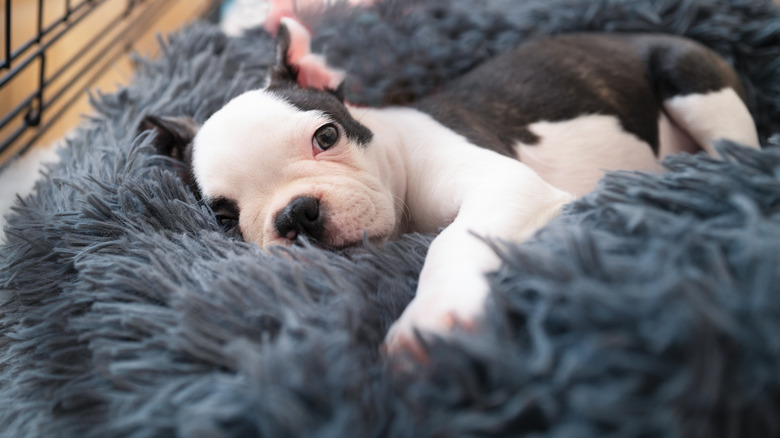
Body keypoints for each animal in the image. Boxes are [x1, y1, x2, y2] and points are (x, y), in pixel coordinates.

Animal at [139, 18, 756, 356]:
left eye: (326, 136)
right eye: (224, 219)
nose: (296, 213)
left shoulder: (502, 183)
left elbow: (451, 241)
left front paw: (433, 321)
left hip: (690, 79)